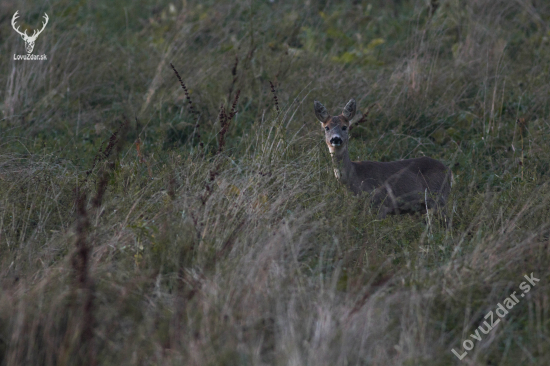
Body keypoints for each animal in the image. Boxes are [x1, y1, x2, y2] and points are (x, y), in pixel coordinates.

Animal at [314, 98, 452, 217]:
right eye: (326, 127)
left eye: (344, 126)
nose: (335, 139)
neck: (353, 177)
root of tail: (448, 171)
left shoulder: (379, 205)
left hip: (439, 198)